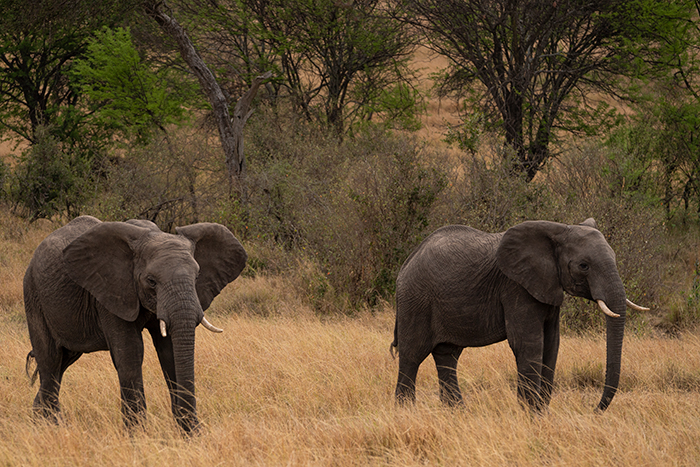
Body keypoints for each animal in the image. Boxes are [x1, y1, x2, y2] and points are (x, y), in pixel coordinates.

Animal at [23, 215, 247, 433]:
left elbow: (170, 353)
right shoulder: (111, 292)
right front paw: (138, 435)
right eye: (151, 281)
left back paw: (41, 420)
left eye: (197, 276)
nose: (195, 429)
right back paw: (52, 428)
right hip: (33, 296)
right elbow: (131, 352)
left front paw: (189, 434)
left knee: (62, 363)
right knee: (50, 362)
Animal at [391, 218, 648, 412]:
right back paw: (406, 411)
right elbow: (528, 343)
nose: (594, 410)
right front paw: (530, 413)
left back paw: (457, 412)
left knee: (447, 356)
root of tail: (406, 263)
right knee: (412, 355)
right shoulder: (516, 287)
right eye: (584, 266)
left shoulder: (548, 286)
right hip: (416, 300)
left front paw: (540, 412)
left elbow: (552, 343)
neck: (558, 230)